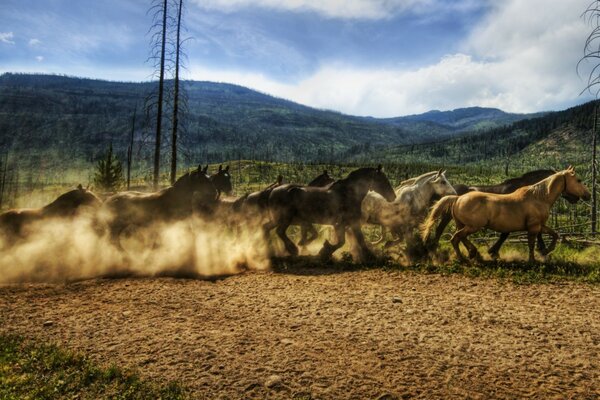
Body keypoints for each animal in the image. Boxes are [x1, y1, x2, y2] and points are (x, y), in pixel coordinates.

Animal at [264, 165, 396, 260]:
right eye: (383, 180)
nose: (393, 196)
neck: (348, 194)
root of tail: (273, 191)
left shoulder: (351, 223)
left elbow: (359, 240)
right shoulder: (342, 224)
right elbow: (342, 242)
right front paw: (324, 251)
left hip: (278, 219)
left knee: (267, 228)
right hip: (285, 219)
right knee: (280, 231)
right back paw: (292, 249)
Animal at [422, 167, 592, 264]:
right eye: (578, 180)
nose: (588, 195)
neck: (538, 196)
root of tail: (457, 198)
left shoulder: (539, 225)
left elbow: (555, 235)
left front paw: (544, 252)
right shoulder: (533, 226)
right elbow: (530, 242)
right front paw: (534, 258)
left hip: (463, 225)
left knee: (459, 237)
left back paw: (472, 254)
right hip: (471, 226)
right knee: (453, 237)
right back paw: (462, 257)